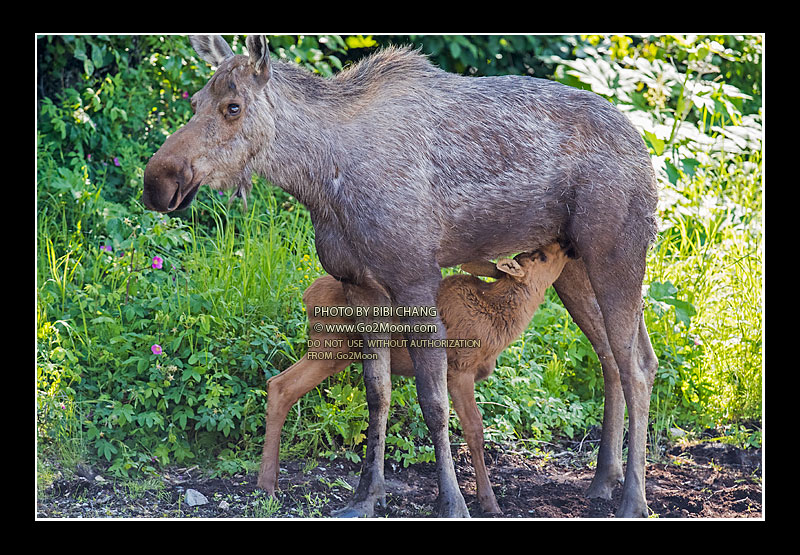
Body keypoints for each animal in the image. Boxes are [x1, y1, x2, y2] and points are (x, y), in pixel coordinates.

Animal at [142, 34, 656, 520]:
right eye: (195, 102)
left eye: (233, 106)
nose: (157, 182)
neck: (320, 182)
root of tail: (646, 149)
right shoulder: (360, 285)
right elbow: (378, 393)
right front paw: (367, 497)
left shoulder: (416, 279)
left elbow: (433, 402)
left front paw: (452, 502)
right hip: (573, 266)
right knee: (616, 359)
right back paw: (602, 482)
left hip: (617, 254)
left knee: (636, 367)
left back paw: (633, 499)